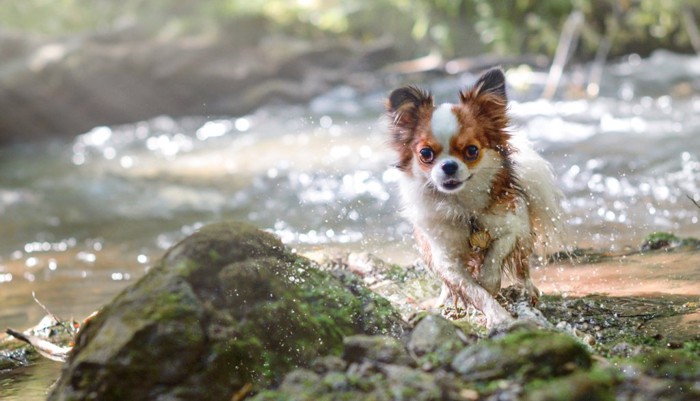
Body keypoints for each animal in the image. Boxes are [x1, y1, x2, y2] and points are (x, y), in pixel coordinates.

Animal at [386, 67, 568, 326]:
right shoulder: (447, 260)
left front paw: (489, 280)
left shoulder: (512, 226)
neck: (463, 207)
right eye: (425, 153)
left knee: (522, 267)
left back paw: (528, 289)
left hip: (523, 239)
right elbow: (474, 291)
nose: (449, 166)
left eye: (472, 150)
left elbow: (495, 255)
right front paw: (498, 316)